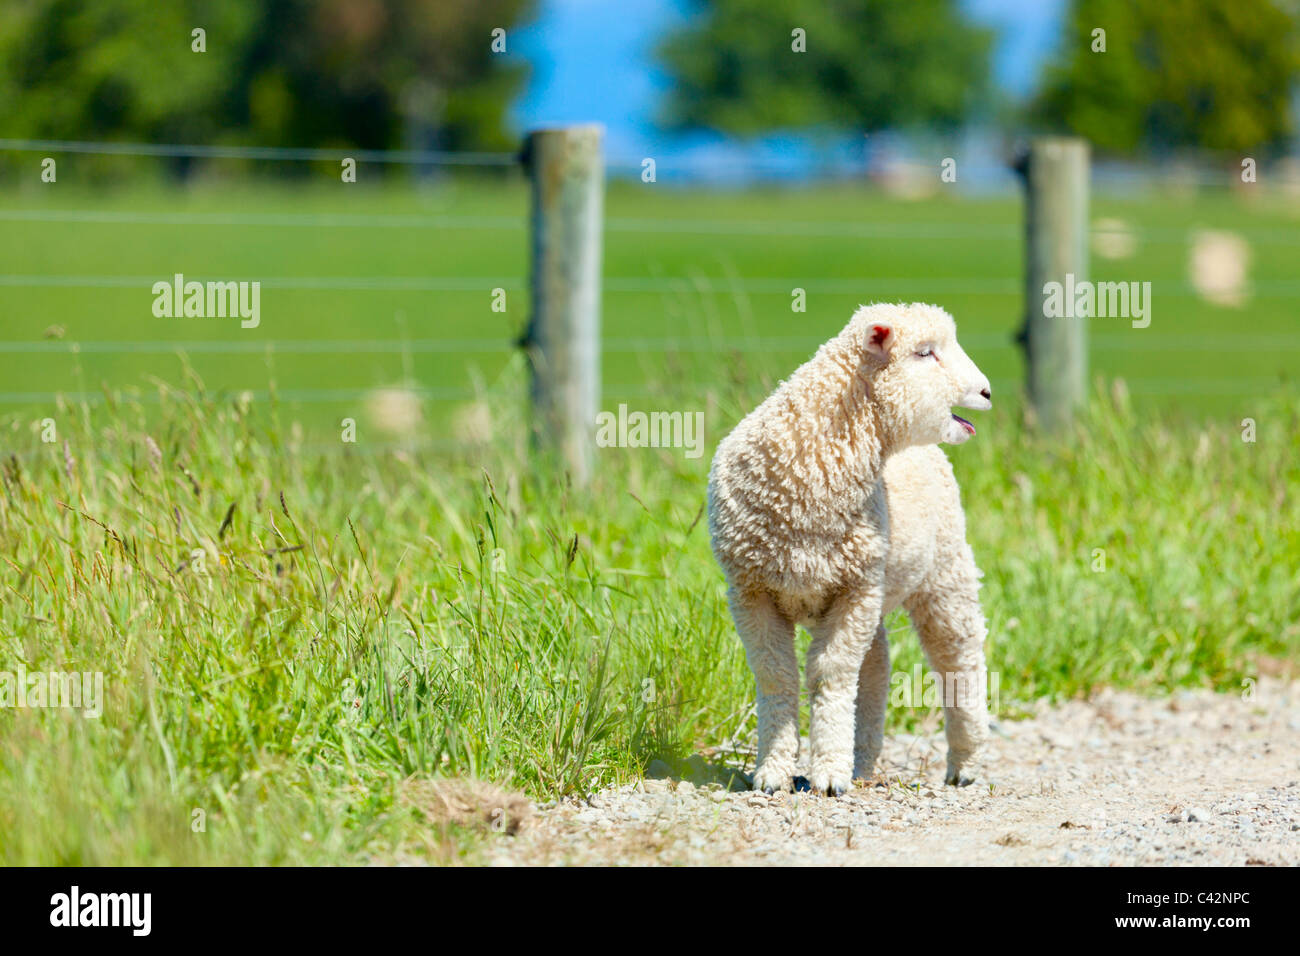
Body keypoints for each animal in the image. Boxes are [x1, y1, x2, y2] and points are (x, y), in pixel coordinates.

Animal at [707, 303, 987, 796]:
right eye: (924, 352)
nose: (987, 391)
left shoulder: (852, 590)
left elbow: (831, 673)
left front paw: (828, 775)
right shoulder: (751, 591)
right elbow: (777, 673)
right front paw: (773, 772)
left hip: (943, 569)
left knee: (959, 657)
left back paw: (964, 763)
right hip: (874, 589)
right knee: (875, 668)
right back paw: (863, 764)